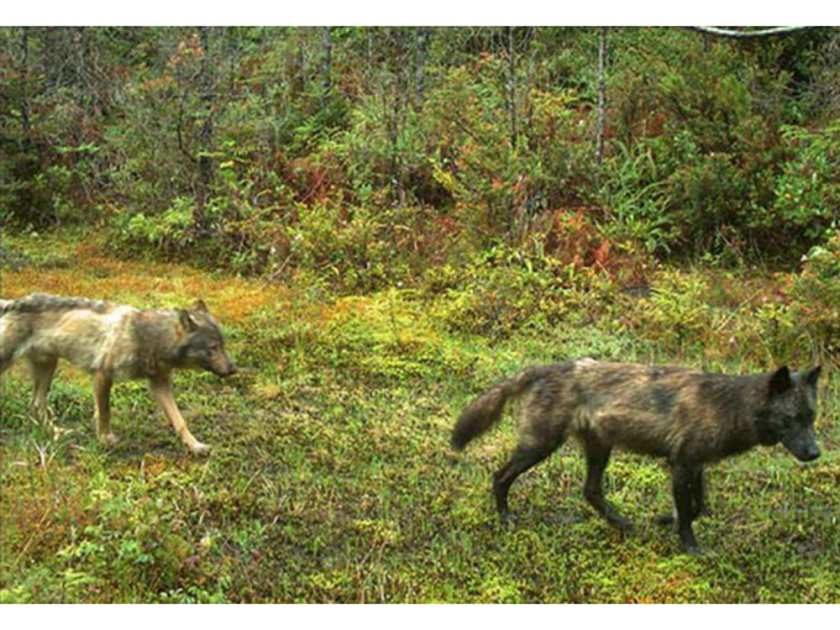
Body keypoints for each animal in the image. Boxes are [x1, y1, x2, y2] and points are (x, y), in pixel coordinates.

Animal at [0, 293, 237, 456]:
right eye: (213, 347)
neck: (149, 337)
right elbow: (105, 413)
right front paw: (105, 440)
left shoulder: (160, 385)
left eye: (223, 345)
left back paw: (57, 433)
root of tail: (13, 302)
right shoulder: (102, 376)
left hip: (48, 370)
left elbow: (180, 421)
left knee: (36, 405)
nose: (234, 369)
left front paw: (196, 446)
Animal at [452, 358, 822, 554]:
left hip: (599, 449)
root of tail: (544, 367)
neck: (729, 407)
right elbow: (690, 514)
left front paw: (664, 519)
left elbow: (698, 506)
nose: (816, 453)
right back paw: (505, 518)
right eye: (791, 419)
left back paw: (623, 523)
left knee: (591, 491)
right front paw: (690, 548)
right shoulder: (681, 465)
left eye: (811, 417)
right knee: (500, 476)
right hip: (540, 447)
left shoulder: (694, 466)